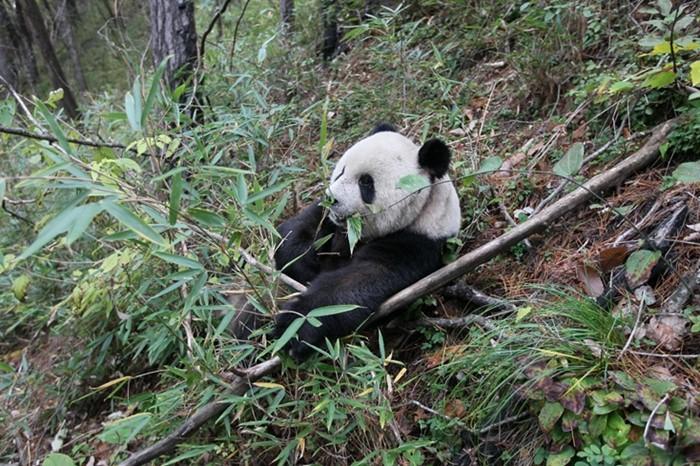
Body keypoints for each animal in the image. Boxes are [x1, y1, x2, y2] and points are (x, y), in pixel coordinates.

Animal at [274, 124, 464, 360]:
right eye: (341, 171)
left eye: (366, 182)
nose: (332, 198)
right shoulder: (331, 222)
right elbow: (302, 226)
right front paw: (301, 263)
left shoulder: (415, 242)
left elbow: (359, 281)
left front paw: (297, 324)